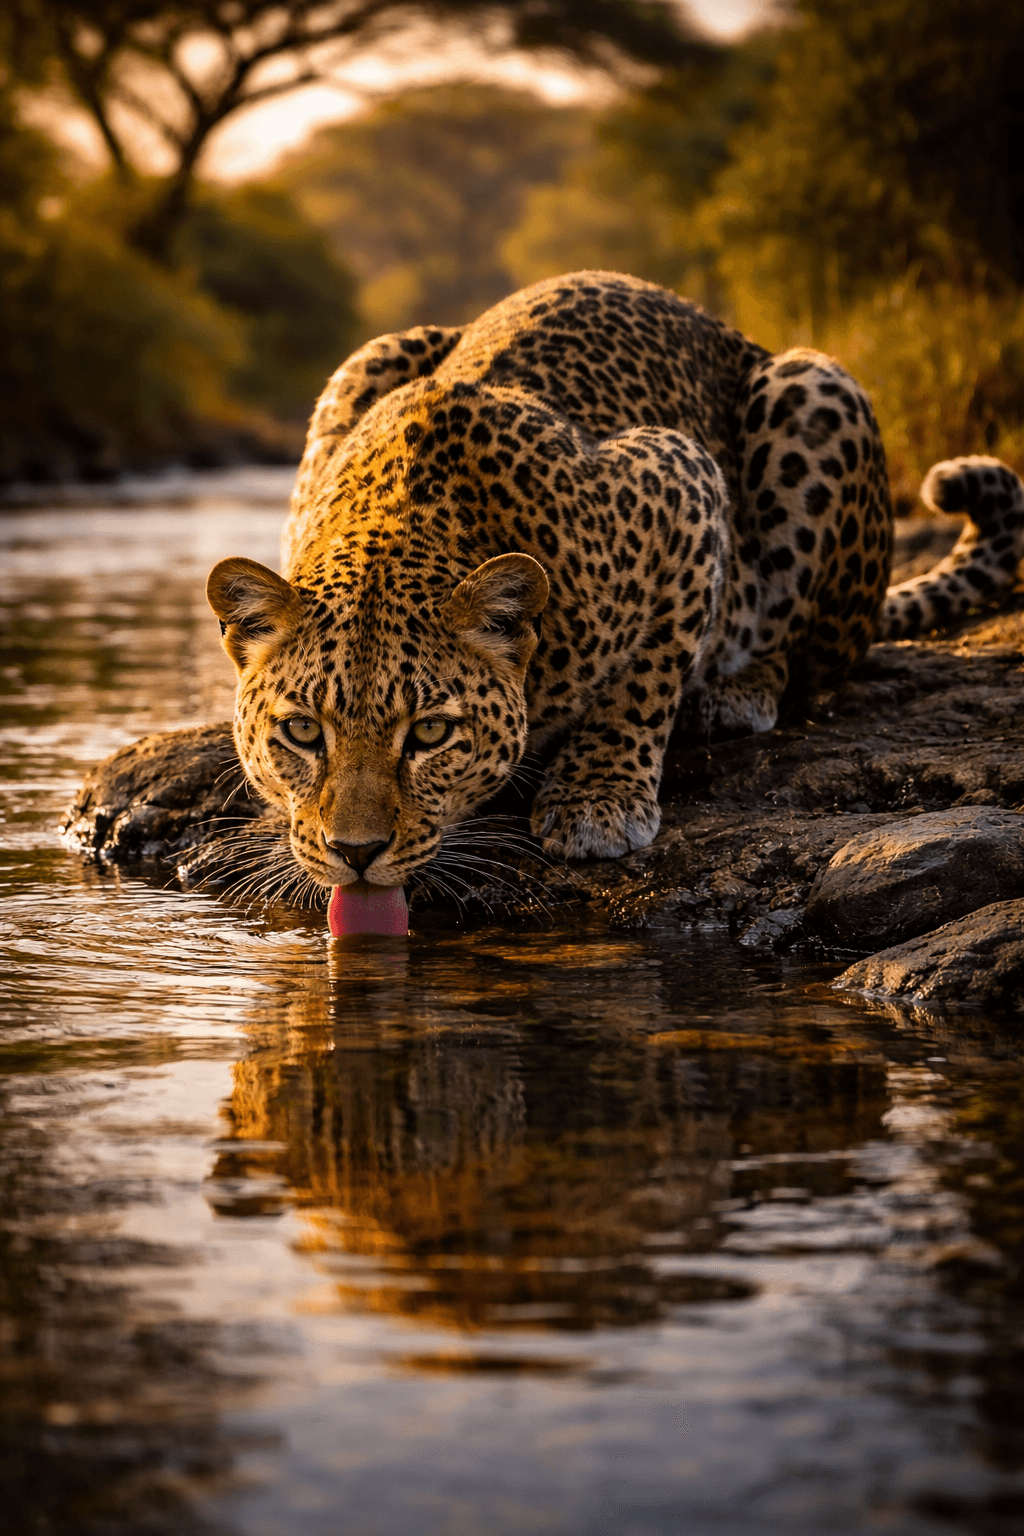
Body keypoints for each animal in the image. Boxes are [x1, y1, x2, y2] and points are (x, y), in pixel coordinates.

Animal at [207, 270, 1024, 893]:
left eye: (431, 733)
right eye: (302, 732)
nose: (355, 853)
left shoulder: (681, 481)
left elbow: (646, 675)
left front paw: (597, 799)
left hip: (814, 390)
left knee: (811, 653)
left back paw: (736, 693)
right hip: (367, 359)